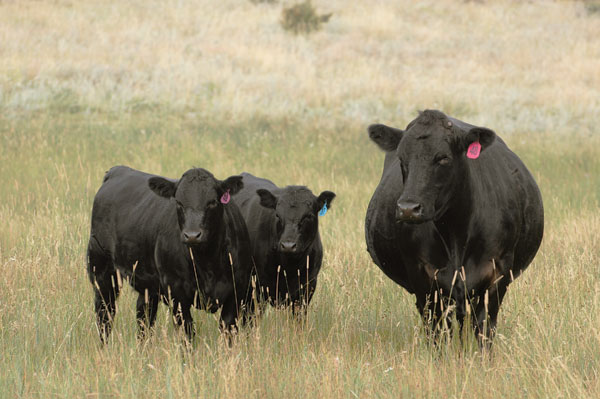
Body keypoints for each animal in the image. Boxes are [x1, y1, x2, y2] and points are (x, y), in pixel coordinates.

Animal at [86, 166, 251, 344]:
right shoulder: (176, 292)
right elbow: (188, 333)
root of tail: (118, 170)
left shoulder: (236, 291)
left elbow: (227, 332)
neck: (207, 263)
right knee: (105, 314)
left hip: (147, 284)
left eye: (213, 202)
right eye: (178, 202)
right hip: (101, 270)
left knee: (144, 317)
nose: (192, 235)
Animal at [234, 173, 336, 312]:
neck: (290, 266)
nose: (288, 246)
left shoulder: (307, 288)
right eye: (277, 215)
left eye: (308, 216)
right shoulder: (255, 288)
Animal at [366, 110, 544, 346]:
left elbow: (484, 330)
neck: (456, 236)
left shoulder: (497, 275)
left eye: (443, 158)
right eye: (402, 159)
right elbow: (437, 335)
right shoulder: (423, 280)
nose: (408, 209)